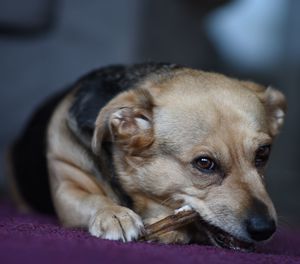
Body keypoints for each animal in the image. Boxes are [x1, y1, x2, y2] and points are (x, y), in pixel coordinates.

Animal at [8, 63, 288, 251]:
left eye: (263, 153)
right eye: (205, 163)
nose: (265, 229)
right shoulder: (67, 186)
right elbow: (94, 199)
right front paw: (115, 214)